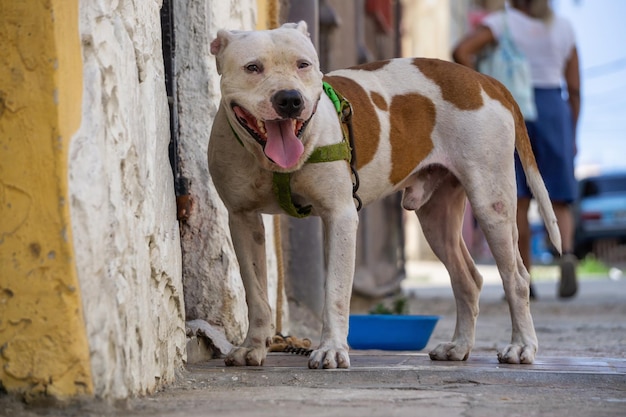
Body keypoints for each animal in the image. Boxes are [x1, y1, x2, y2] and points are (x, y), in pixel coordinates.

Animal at [207, 22, 560, 368]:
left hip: (491, 203)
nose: (290, 99)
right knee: (468, 280)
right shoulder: (243, 220)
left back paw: (522, 347)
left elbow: (336, 292)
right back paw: (459, 347)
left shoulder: (340, 215)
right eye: (253, 67)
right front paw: (251, 347)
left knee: (516, 278)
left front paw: (332, 350)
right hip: (437, 218)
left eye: (303, 65)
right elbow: (255, 294)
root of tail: (483, 80)